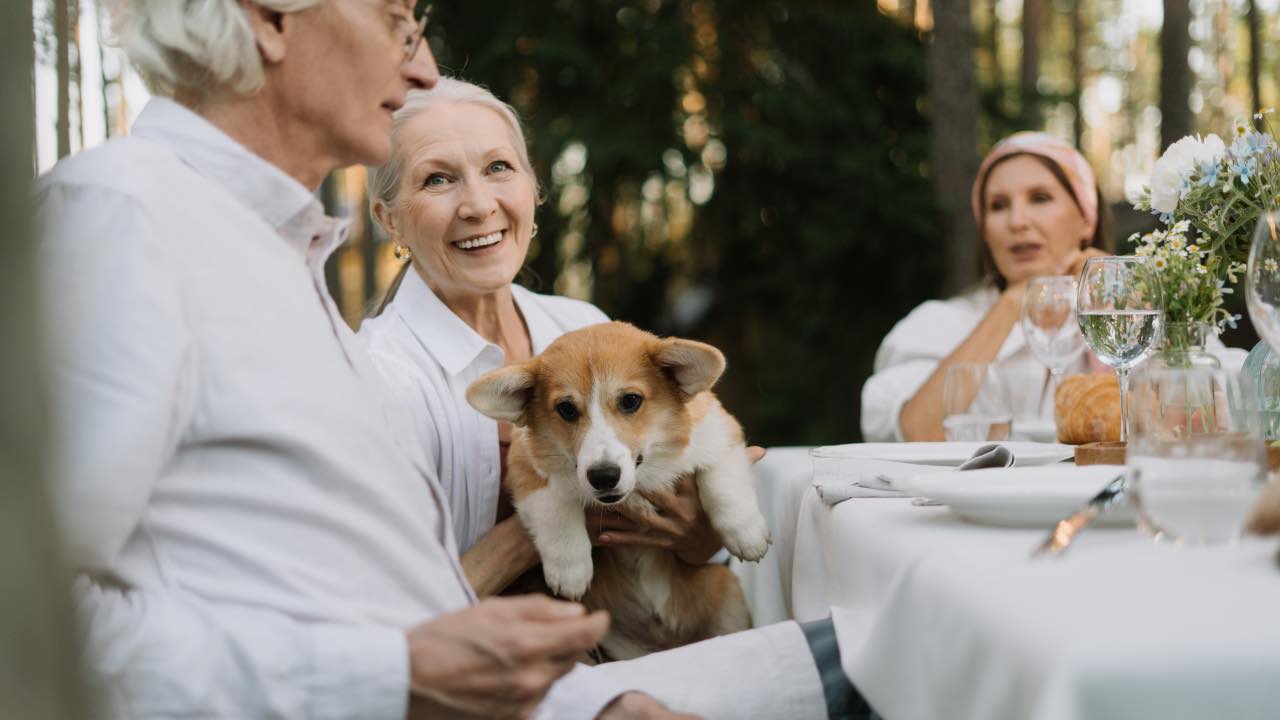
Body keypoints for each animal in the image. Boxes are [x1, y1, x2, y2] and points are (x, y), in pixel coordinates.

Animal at [468, 322, 768, 661]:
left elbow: (722, 480)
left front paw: (747, 534)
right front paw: (571, 569)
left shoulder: (720, 433)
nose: (603, 477)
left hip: (728, 597)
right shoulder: (526, 467)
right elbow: (554, 507)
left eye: (630, 401)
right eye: (566, 409)